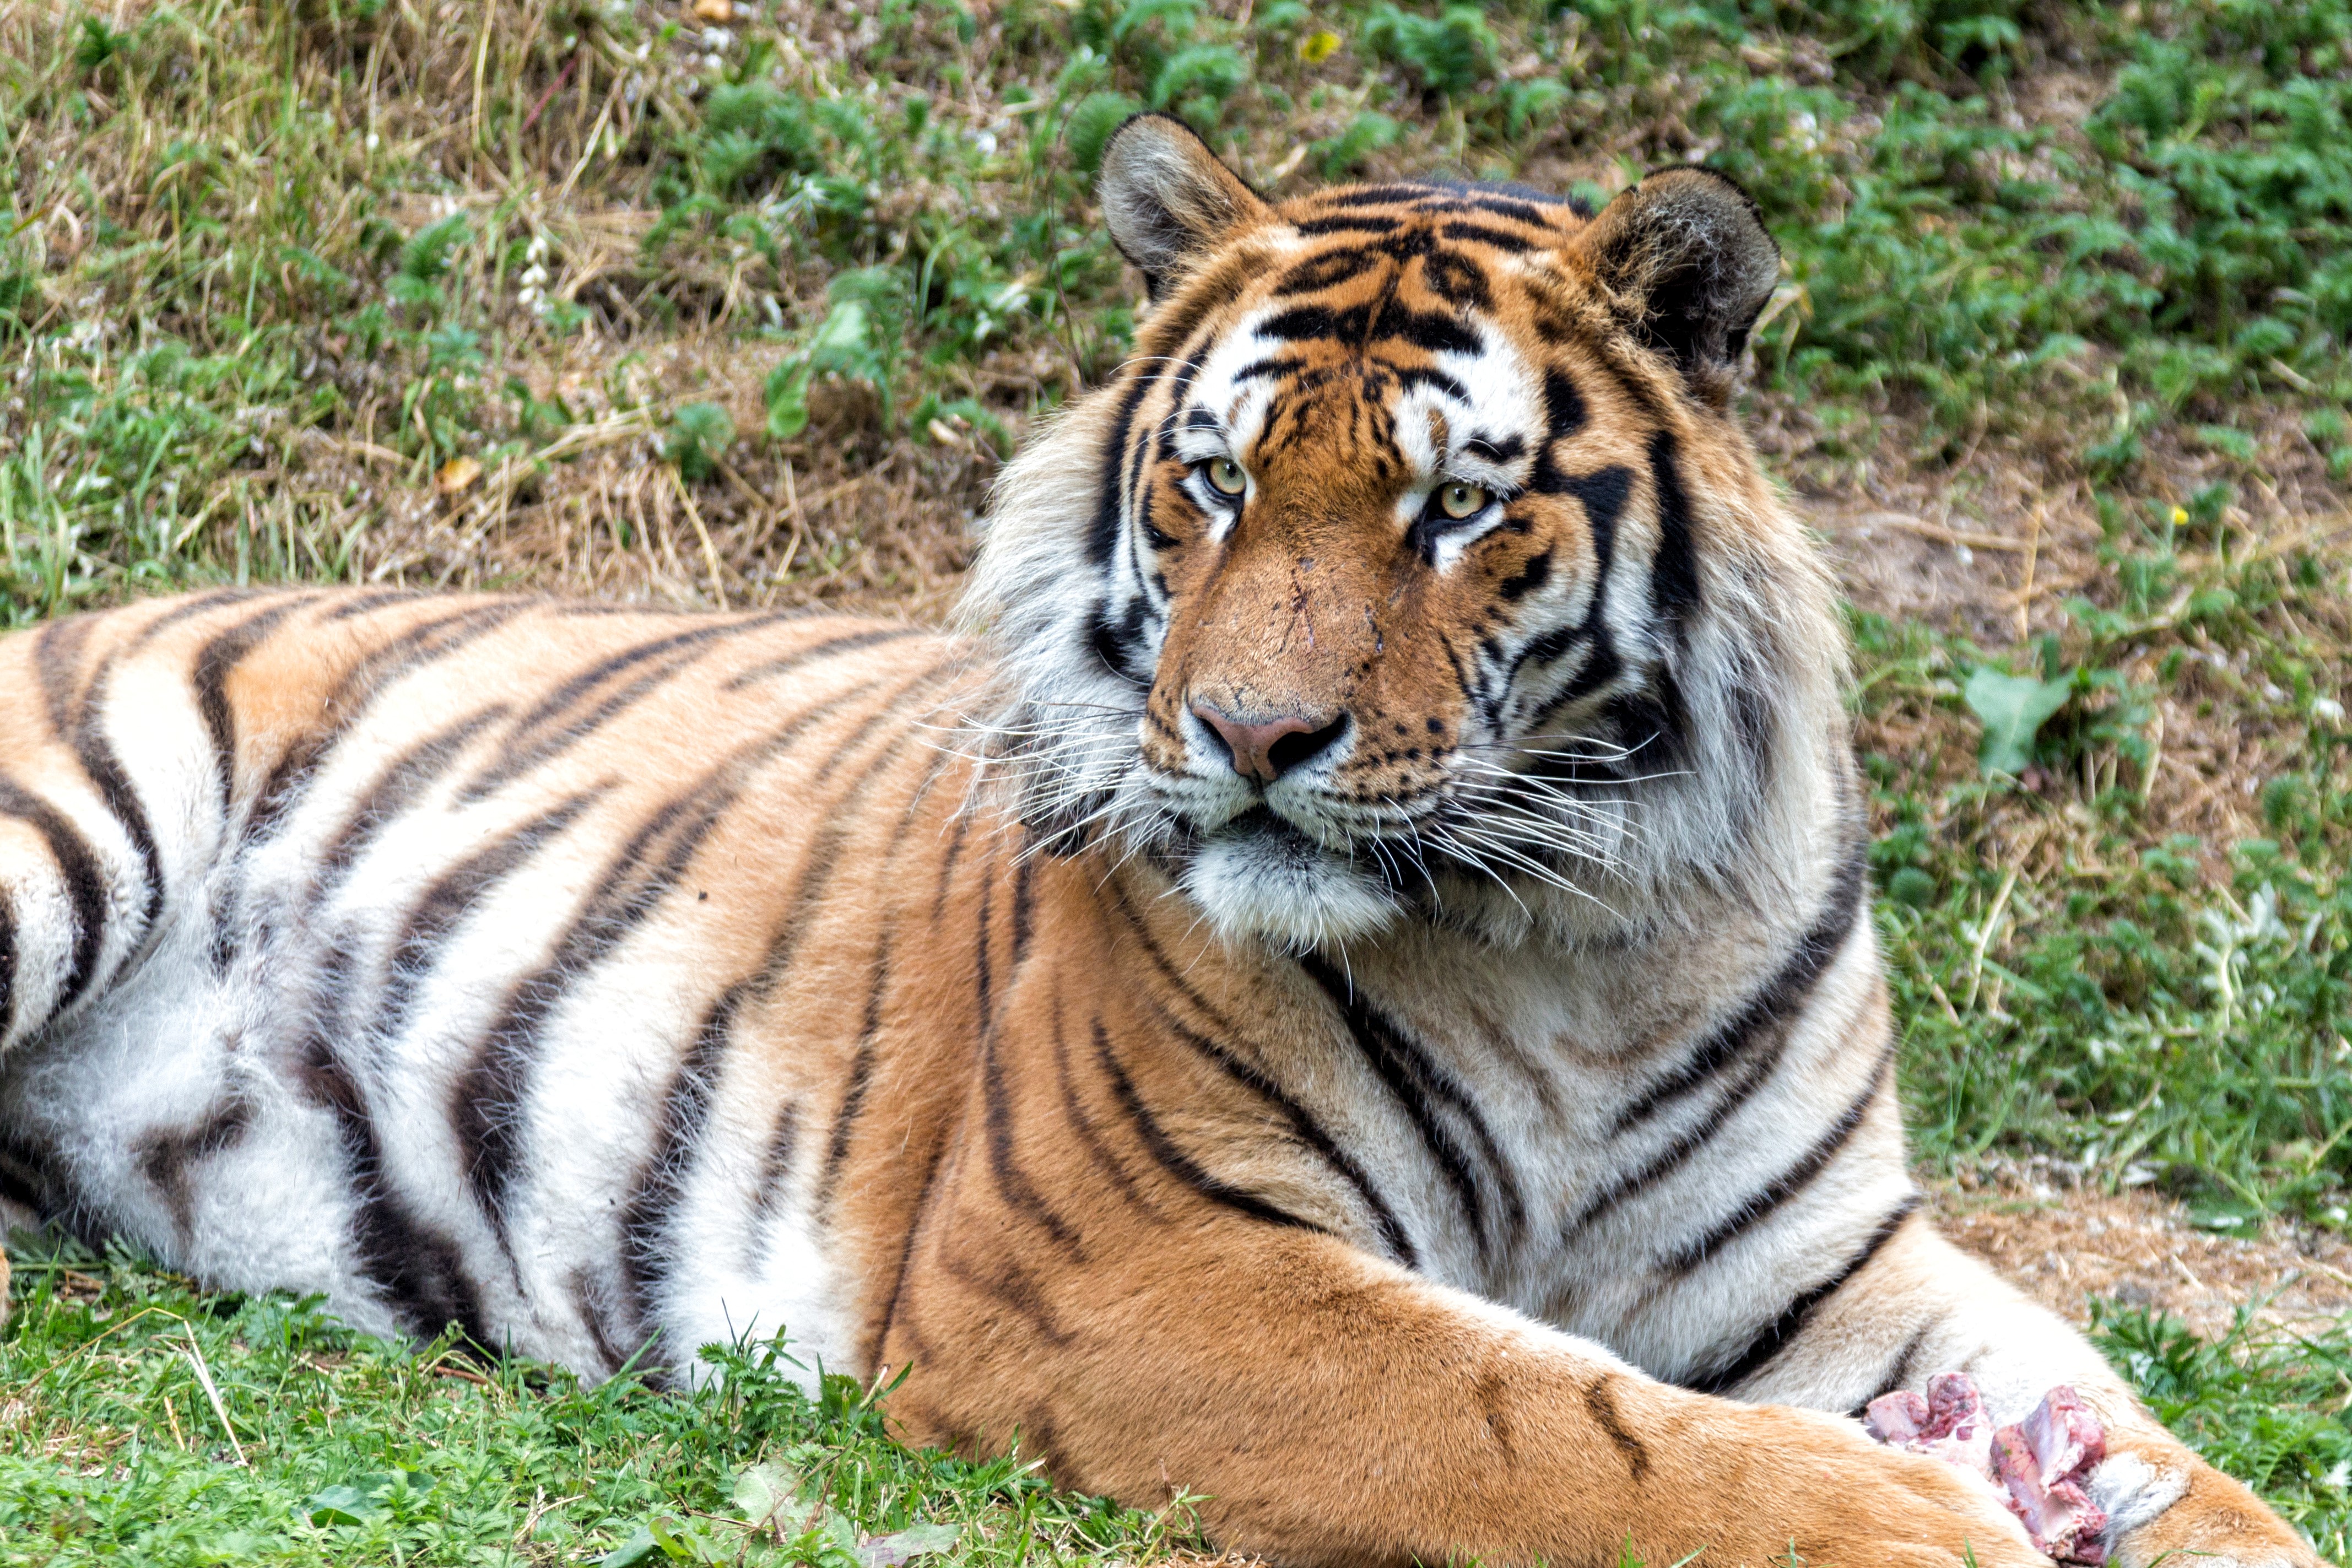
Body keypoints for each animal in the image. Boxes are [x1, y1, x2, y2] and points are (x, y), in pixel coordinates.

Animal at [0, 112, 2318, 1567]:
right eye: (1211, 480)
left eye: (1455, 505)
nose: (1248, 735)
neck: (1580, 929)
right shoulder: (1126, 1260)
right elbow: (1545, 1416)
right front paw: (1915, 1514)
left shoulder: (1829, 1258)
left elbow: (2167, 1444)